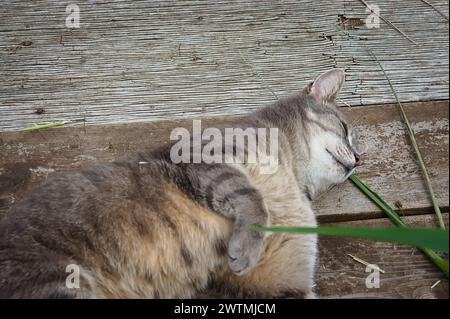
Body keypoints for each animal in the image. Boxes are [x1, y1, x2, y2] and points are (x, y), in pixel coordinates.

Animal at [0, 69, 358, 298]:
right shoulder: (203, 158)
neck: (291, 175)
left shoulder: (284, 282)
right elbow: (252, 198)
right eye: (345, 128)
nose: (358, 159)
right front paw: (245, 248)